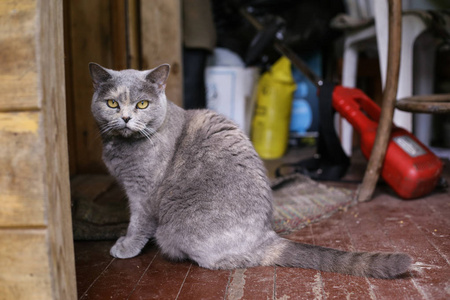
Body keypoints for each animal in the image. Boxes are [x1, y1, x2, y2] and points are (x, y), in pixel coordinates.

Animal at [87, 61, 412, 278]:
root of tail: (265, 237)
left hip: (176, 229)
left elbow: (138, 223)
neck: (121, 147)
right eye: (112, 103)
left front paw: (125, 247)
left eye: (142, 104)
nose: (126, 118)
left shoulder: (143, 193)